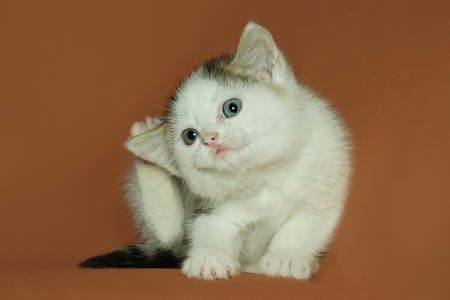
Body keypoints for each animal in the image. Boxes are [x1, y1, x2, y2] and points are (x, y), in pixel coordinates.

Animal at [82, 21, 354, 282]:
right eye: (190, 136)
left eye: (232, 107)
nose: (210, 139)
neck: (264, 175)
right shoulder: (206, 208)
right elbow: (210, 229)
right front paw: (209, 259)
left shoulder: (325, 180)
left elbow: (304, 225)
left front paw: (286, 259)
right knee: (168, 232)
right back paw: (145, 150)